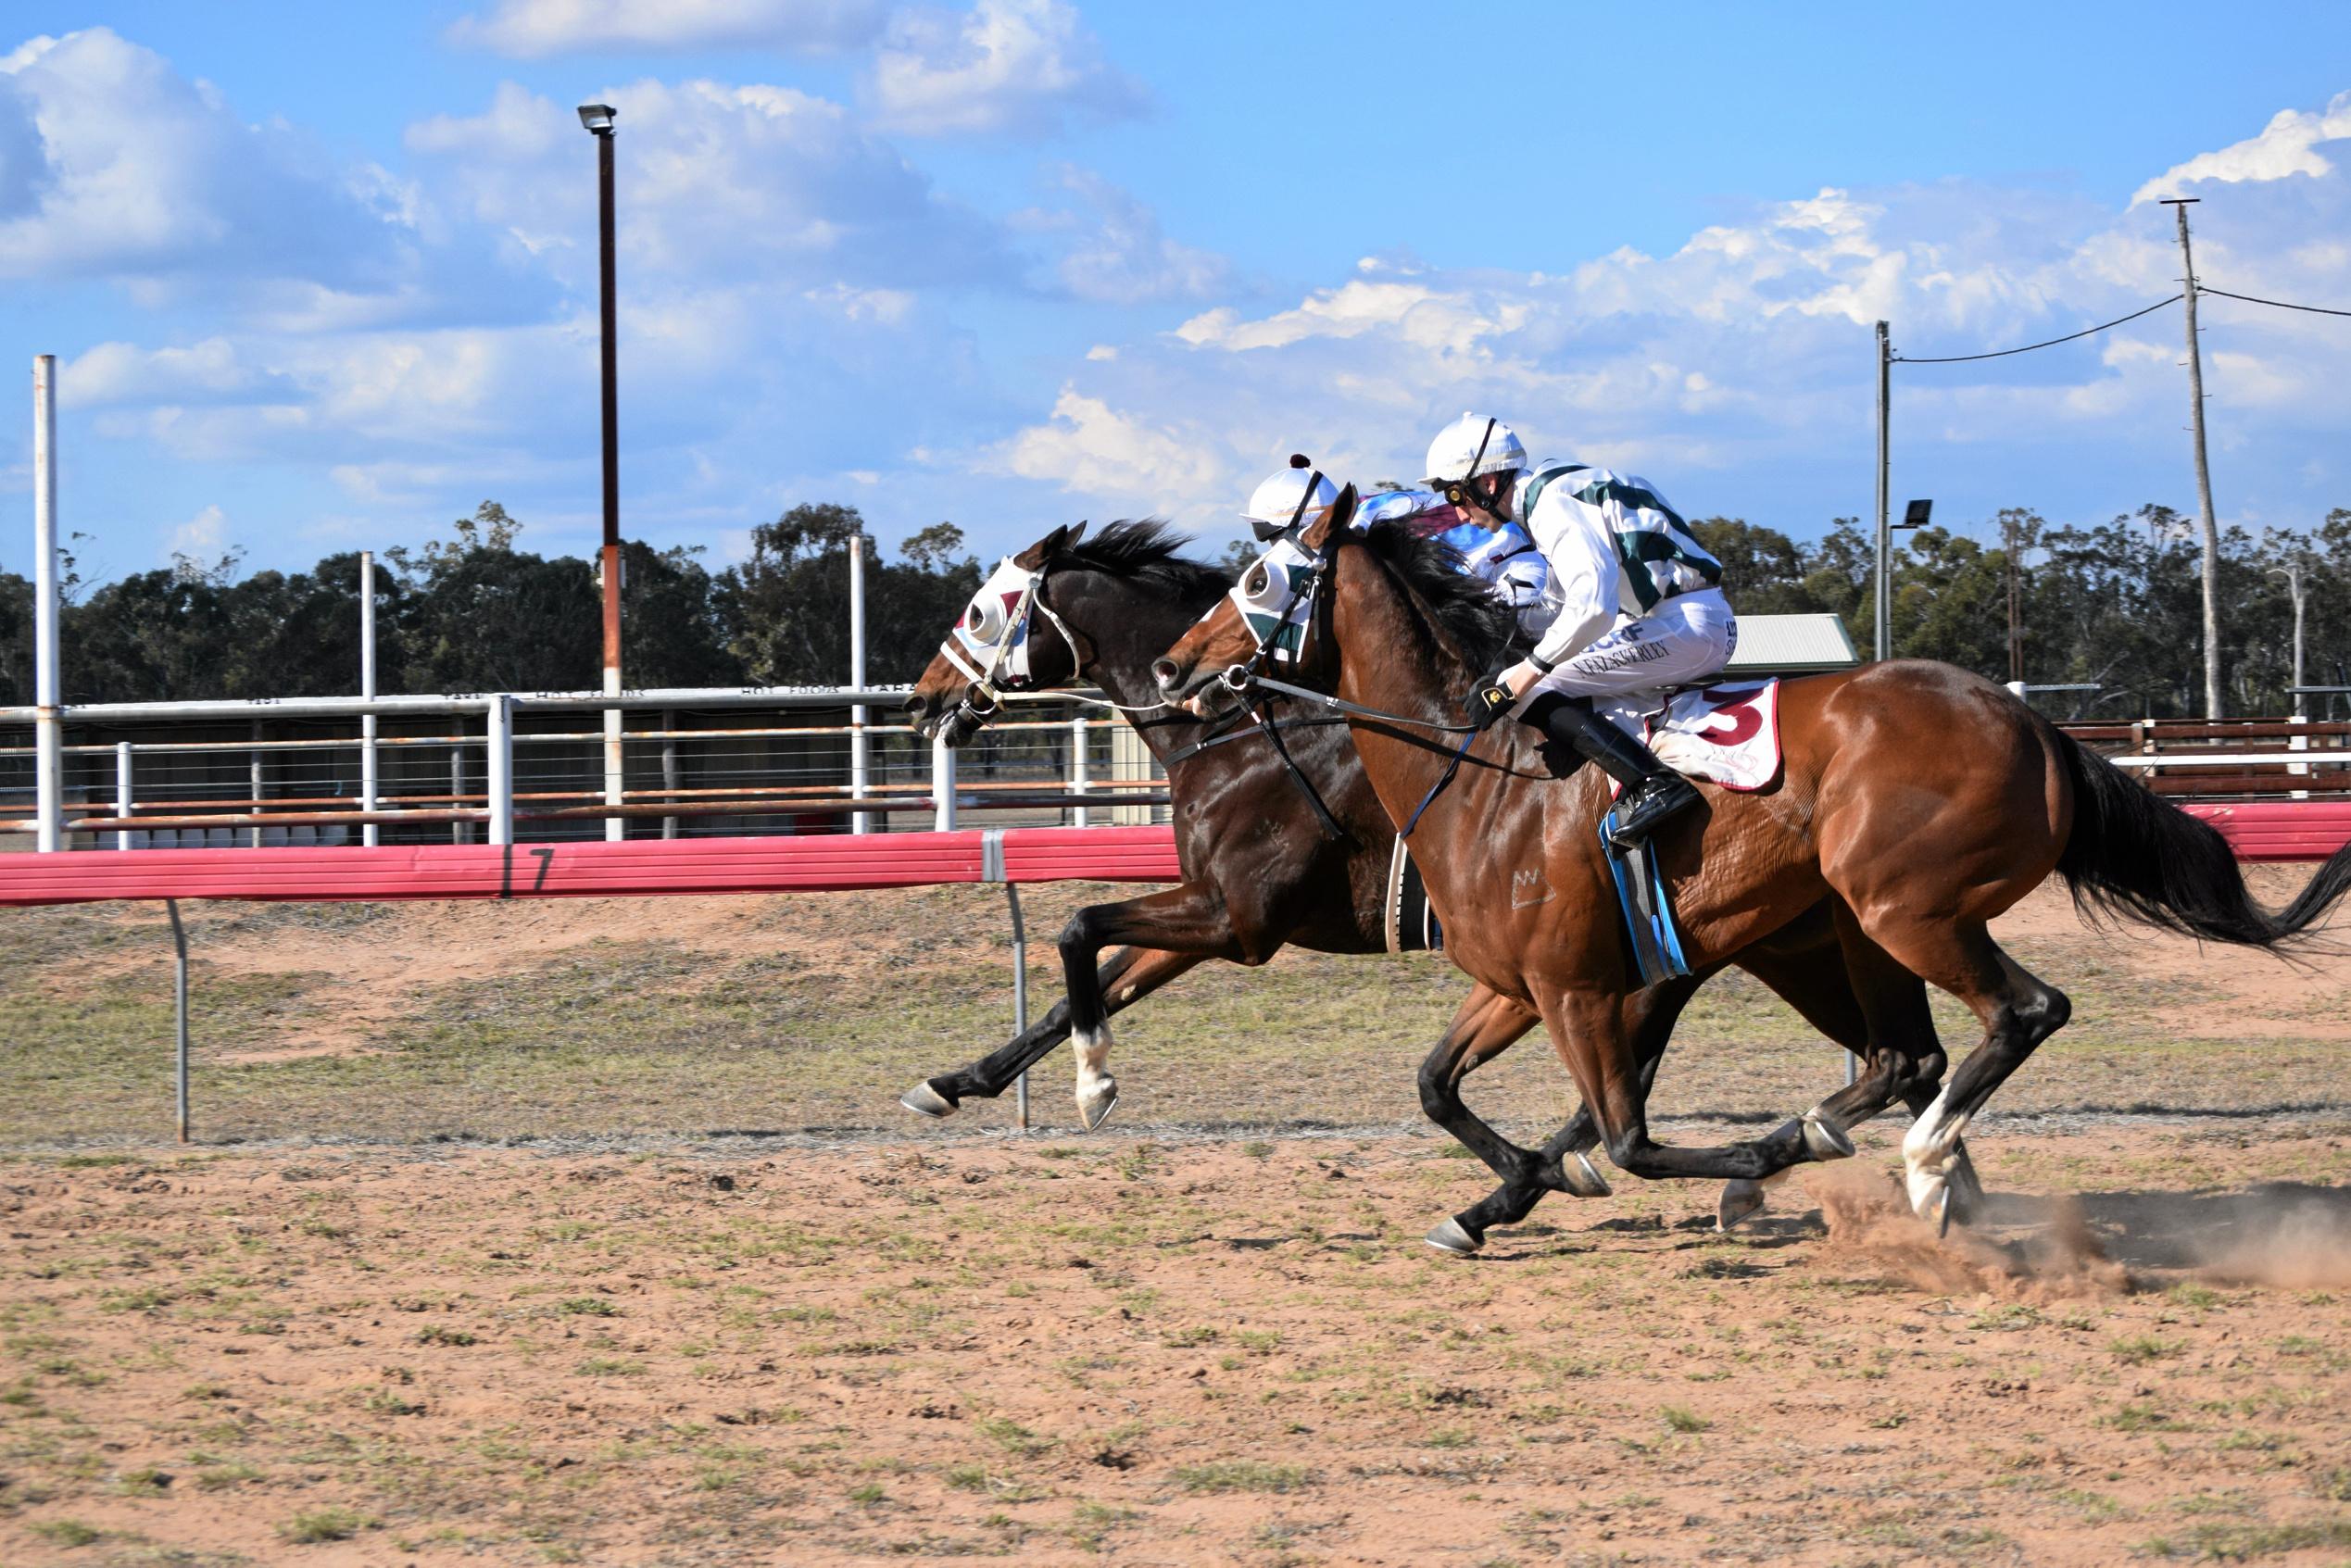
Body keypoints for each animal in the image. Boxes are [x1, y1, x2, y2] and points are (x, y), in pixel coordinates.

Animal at [907, 521, 1974, 1241]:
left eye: (981, 607)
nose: (923, 699)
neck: (1243, 729)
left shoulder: (1237, 917)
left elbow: (1080, 928)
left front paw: (1093, 1082)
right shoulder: (1214, 911)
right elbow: (1088, 976)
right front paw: (955, 1081)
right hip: (1798, 947)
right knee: (1898, 1057)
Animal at [1156, 491, 2351, 1222]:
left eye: (1258, 577)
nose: (1174, 665)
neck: (1477, 769)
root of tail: (2034, 724)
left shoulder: (1579, 987)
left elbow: (1631, 1137)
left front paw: (1670, 1171)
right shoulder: (1520, 983)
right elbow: (1439, 1087)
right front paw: (1498, 1198)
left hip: (1905, 909)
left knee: (2021, 1013)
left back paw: (1916, 1163)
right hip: (1858, 928)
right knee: (1905, 1055)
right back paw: (1880, 1152)